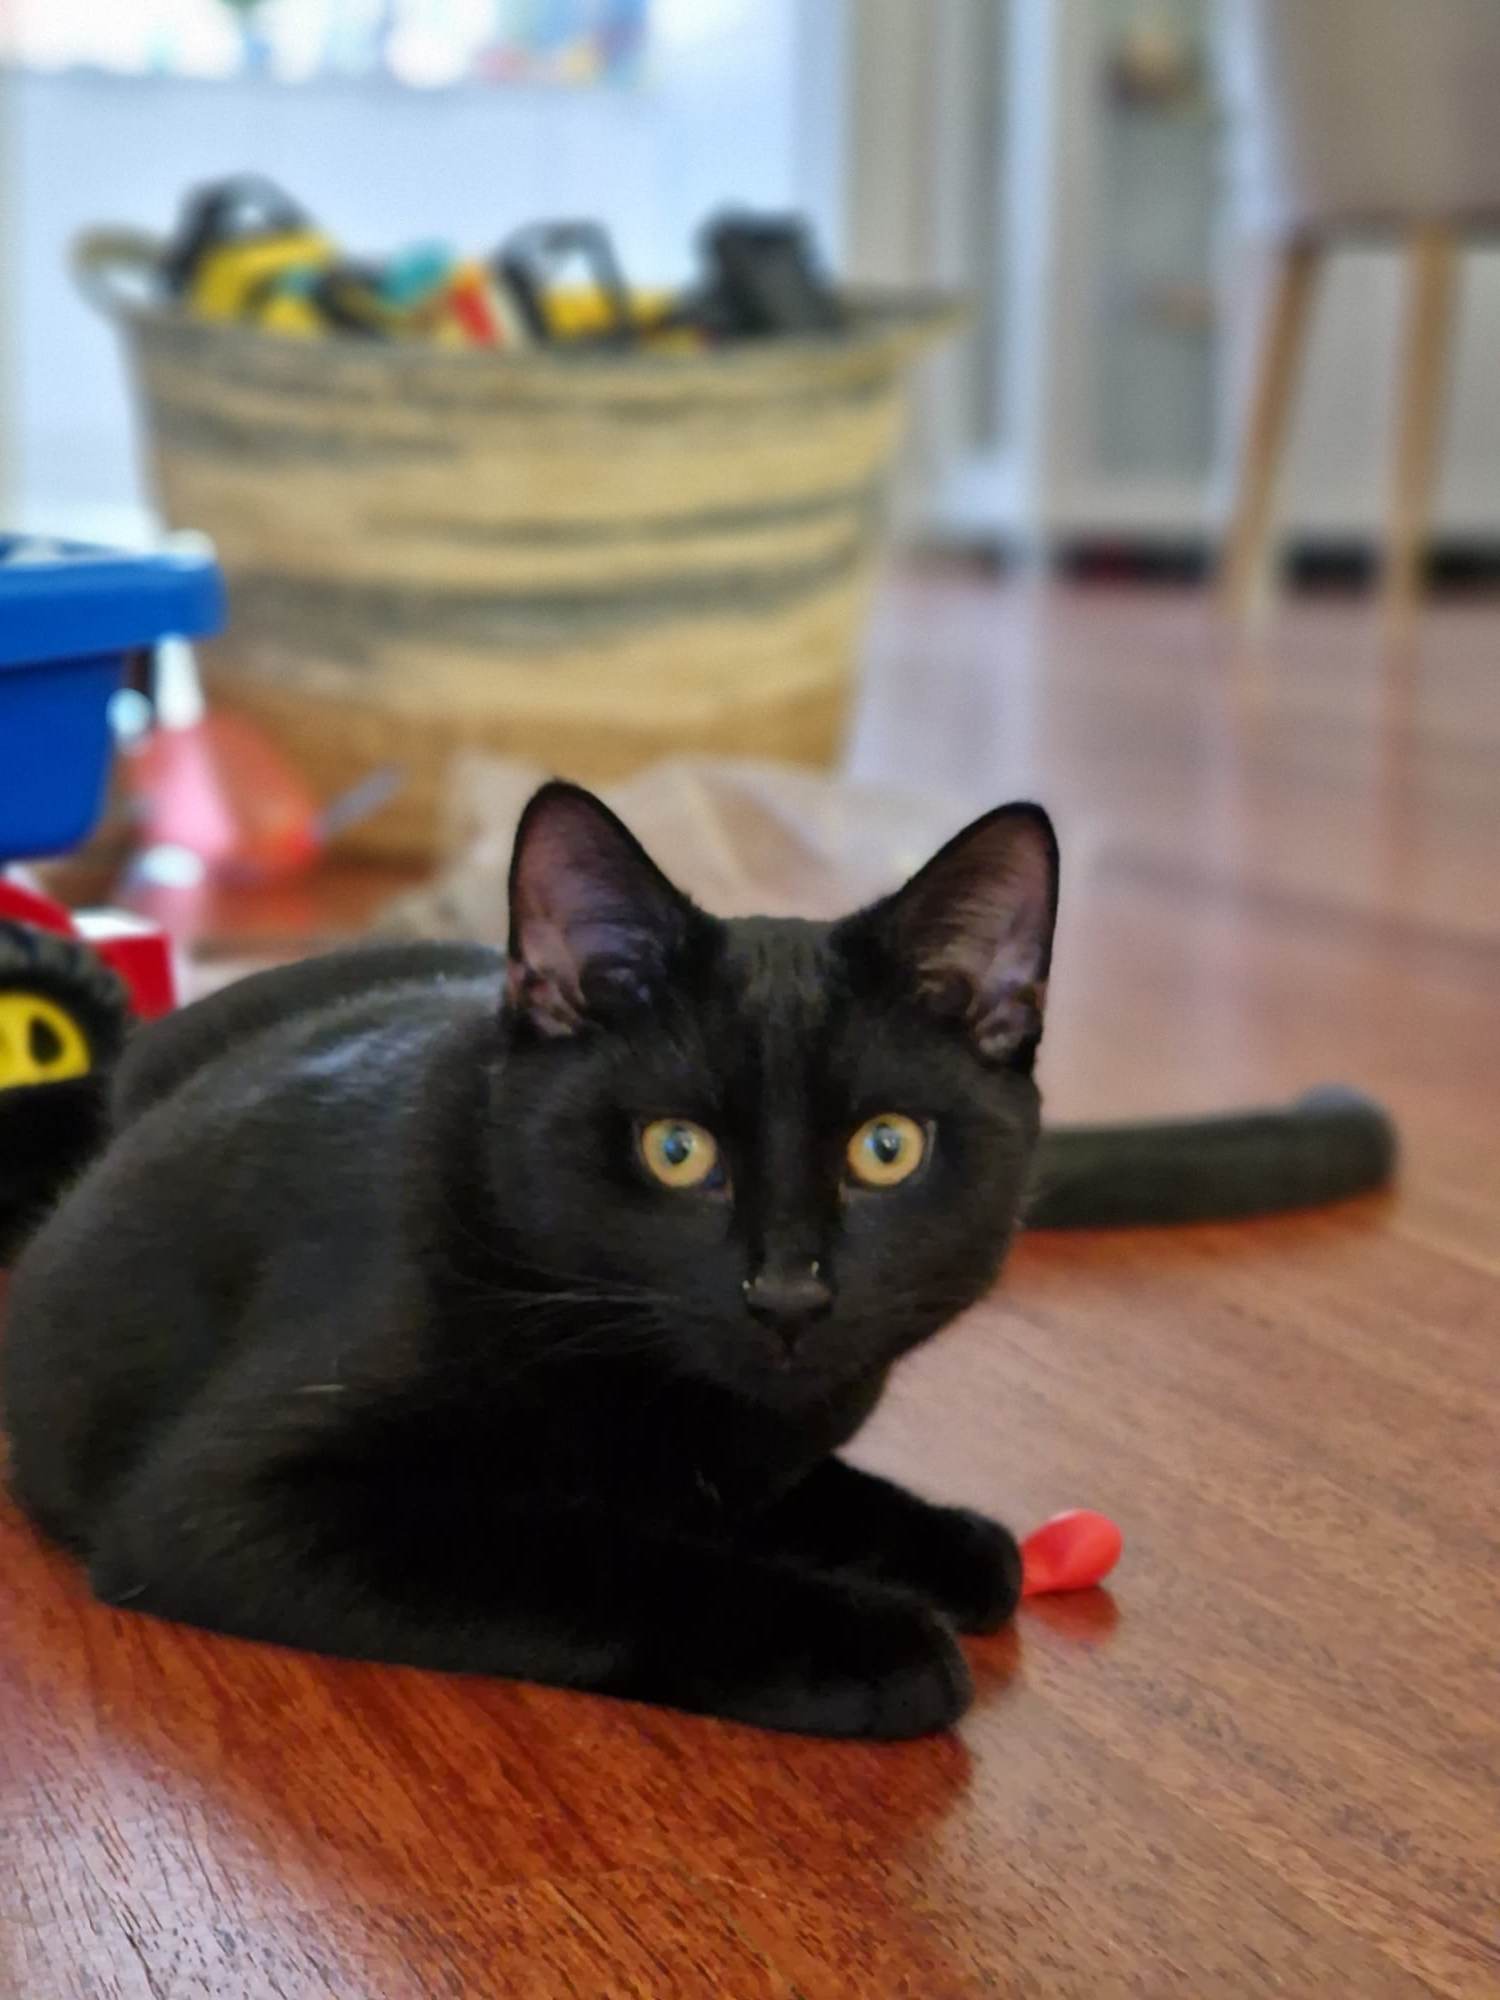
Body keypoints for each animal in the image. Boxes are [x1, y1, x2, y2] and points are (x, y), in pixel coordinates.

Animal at [1, 780, 1058, 1738]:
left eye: (887, 1148)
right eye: (677, 1150)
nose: (789, 1293)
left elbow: (784, 1489)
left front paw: (942, 1539)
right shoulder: (227, 1508)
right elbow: (593, 1554)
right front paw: (870, 1642)